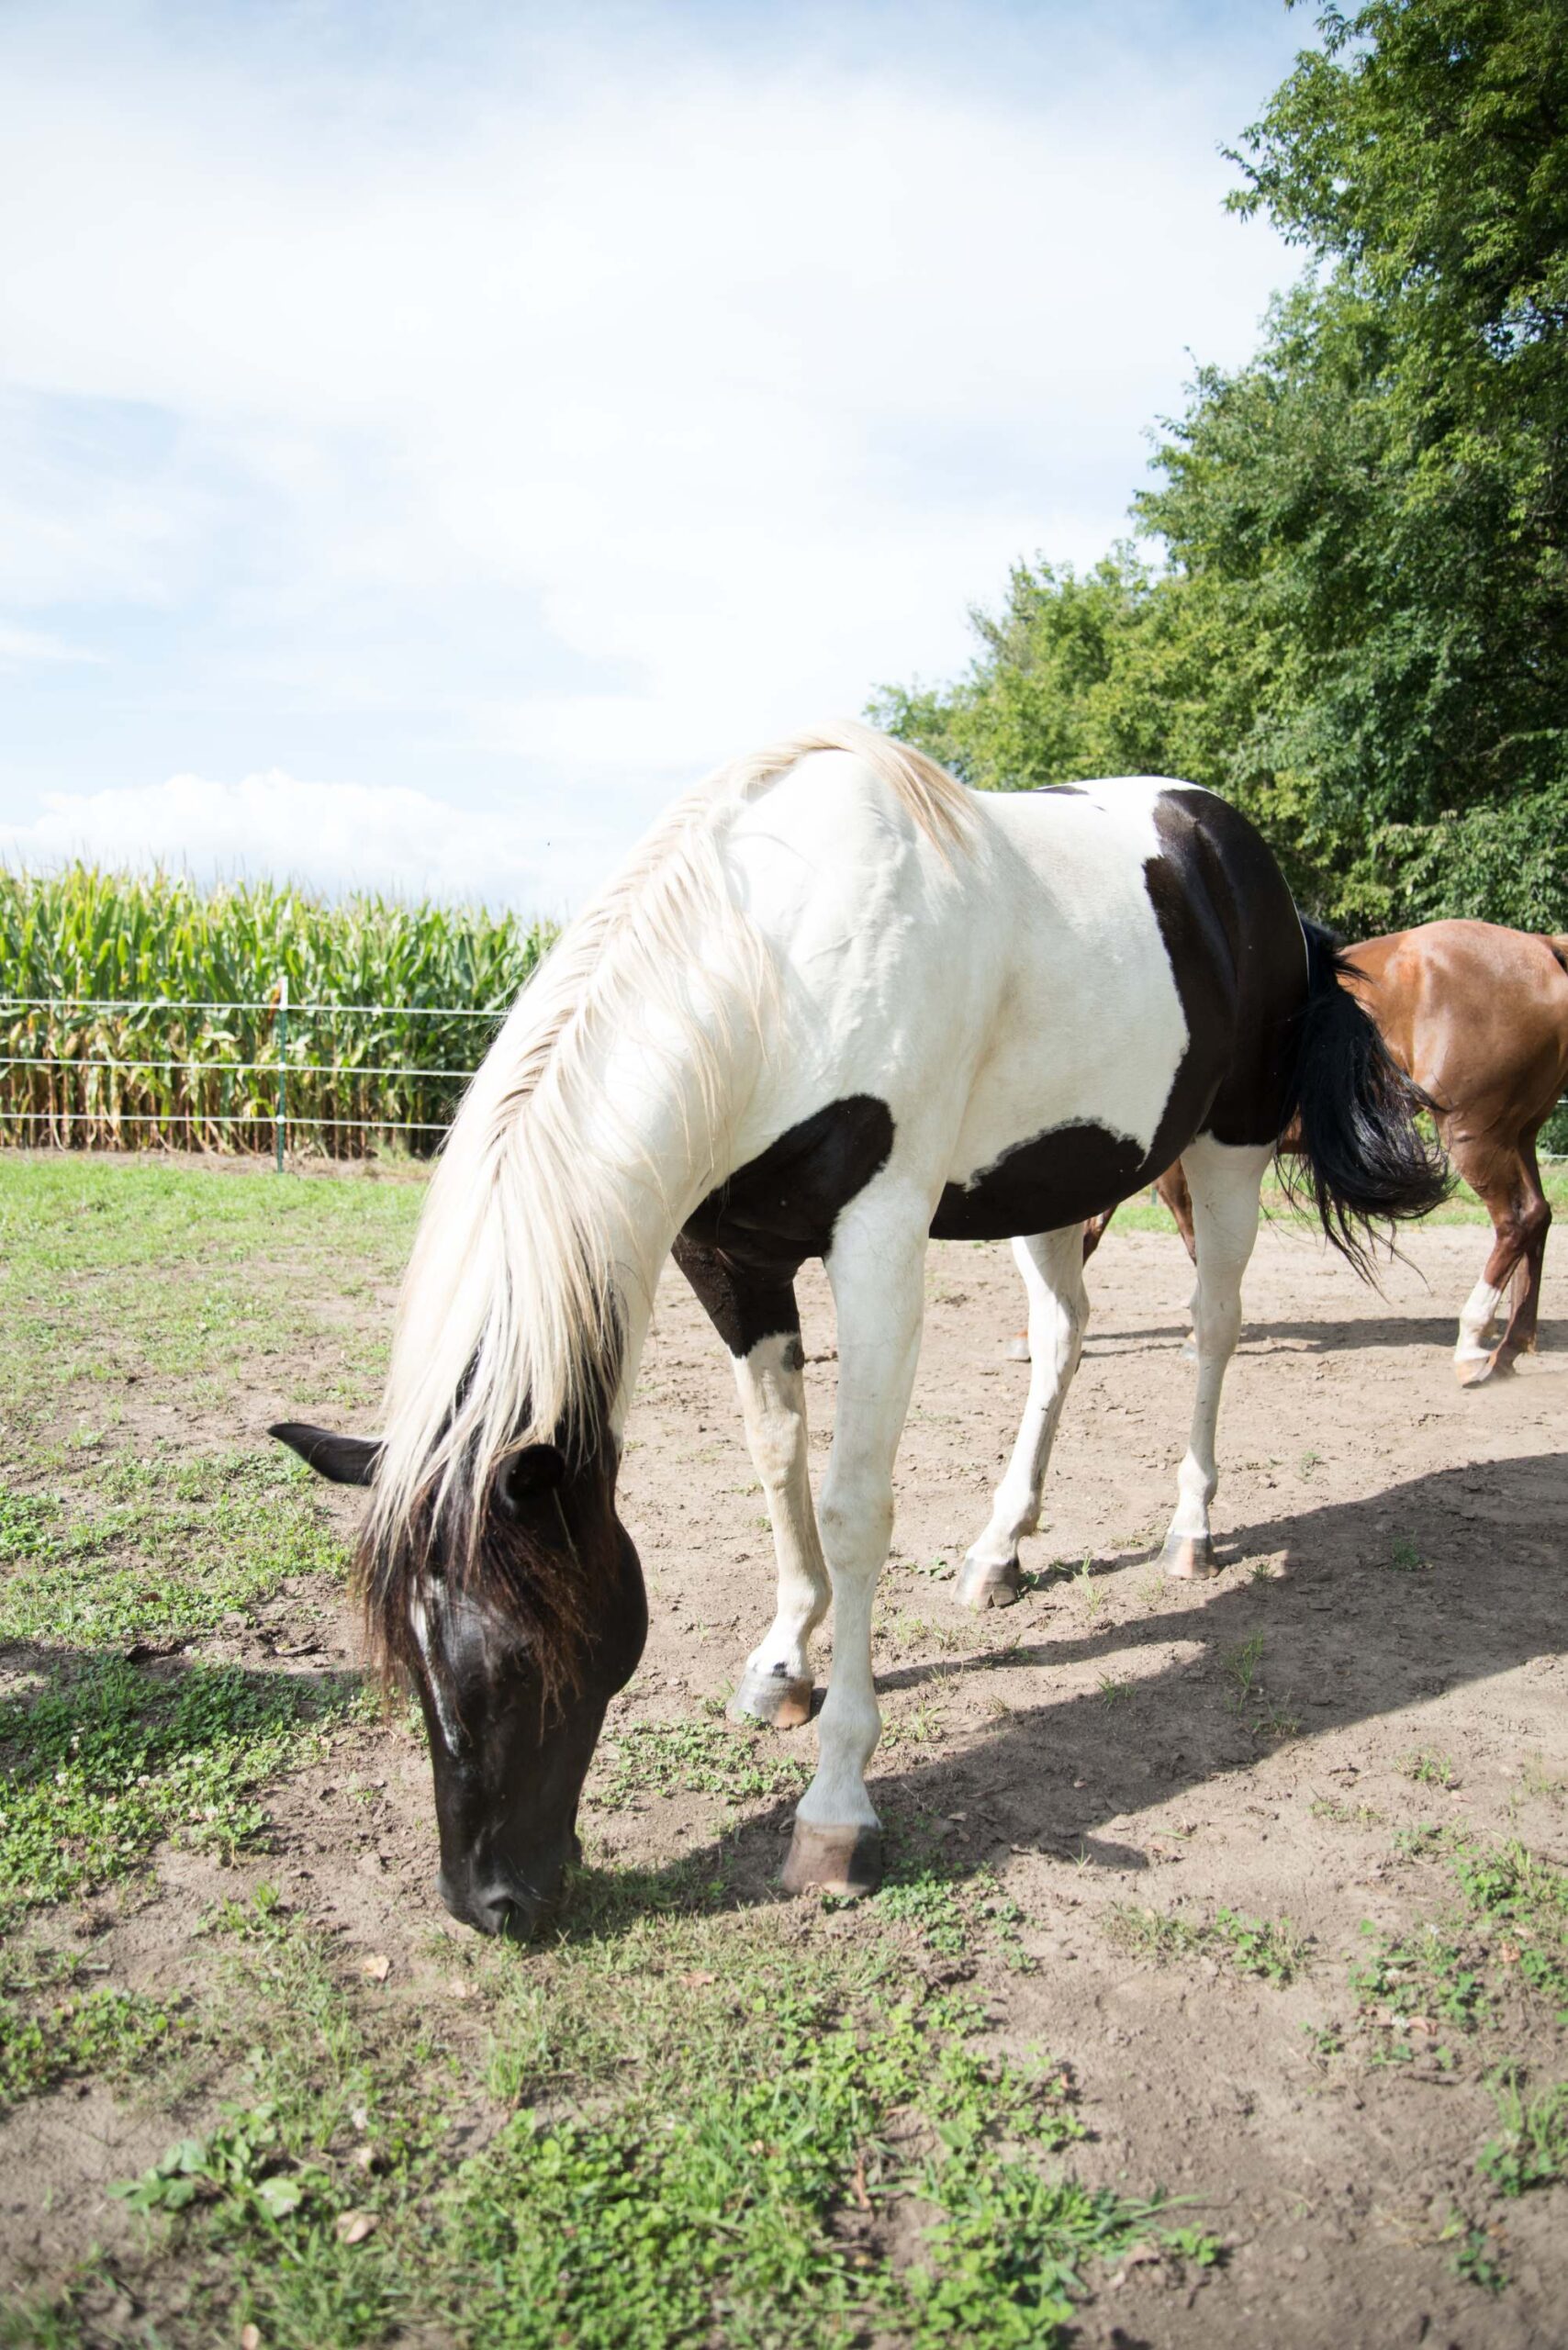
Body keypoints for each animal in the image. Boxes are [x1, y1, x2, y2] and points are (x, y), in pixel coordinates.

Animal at [269, 722, 1445, 1936]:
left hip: (1228, 1148)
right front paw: (783, 1663)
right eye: (407, 1658)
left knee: (1213, 1326)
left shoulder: (878, 1241)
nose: (488, 1900)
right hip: (1053, 1180)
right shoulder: (726, 1257)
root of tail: (1247, 868)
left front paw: (833, 1808)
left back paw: (1190, 1529)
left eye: (518, 1654)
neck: (772, 967)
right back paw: (999, 1548)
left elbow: (849, 1506)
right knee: (1063, 1334)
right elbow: (775, 1456)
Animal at [1078, 921, 1568, 1387]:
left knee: (1517, 1221)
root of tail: (1541, 948)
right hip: (1517, 1136)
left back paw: (1472, 1344)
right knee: (1539, 1217)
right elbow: (1094, 1233)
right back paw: (1510, 1348)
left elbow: (1193, 1244)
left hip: (1475, 1135)